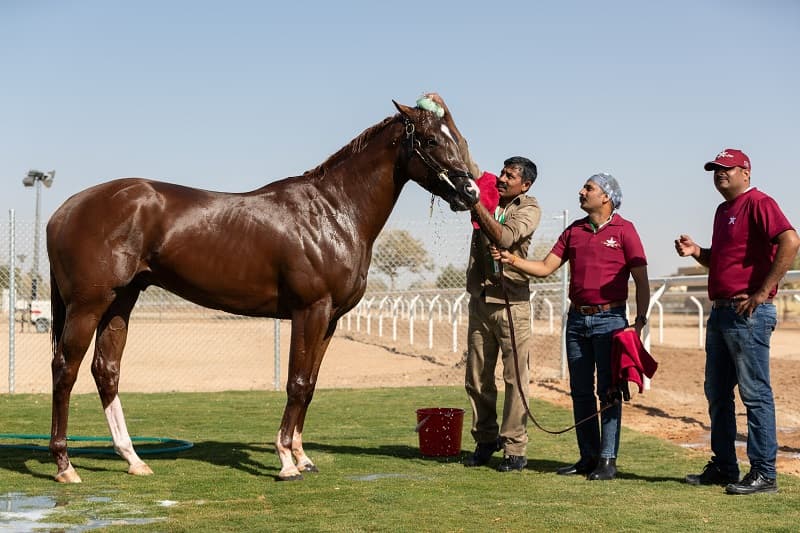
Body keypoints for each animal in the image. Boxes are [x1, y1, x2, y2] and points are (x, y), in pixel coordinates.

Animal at [45, 99, 475, 482]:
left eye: (458, 136)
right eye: (432, 140)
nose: (469, 192)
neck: (333, 211)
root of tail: (64, 210)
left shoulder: (330, 320)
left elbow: (310, 385)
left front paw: (303, 457)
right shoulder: (310, 310)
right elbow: (296, 383)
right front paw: (286, 461)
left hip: (121, 302)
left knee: (106, 370)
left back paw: (133, 459)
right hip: (88, 305)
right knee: (65, 370)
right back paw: (65, 466)